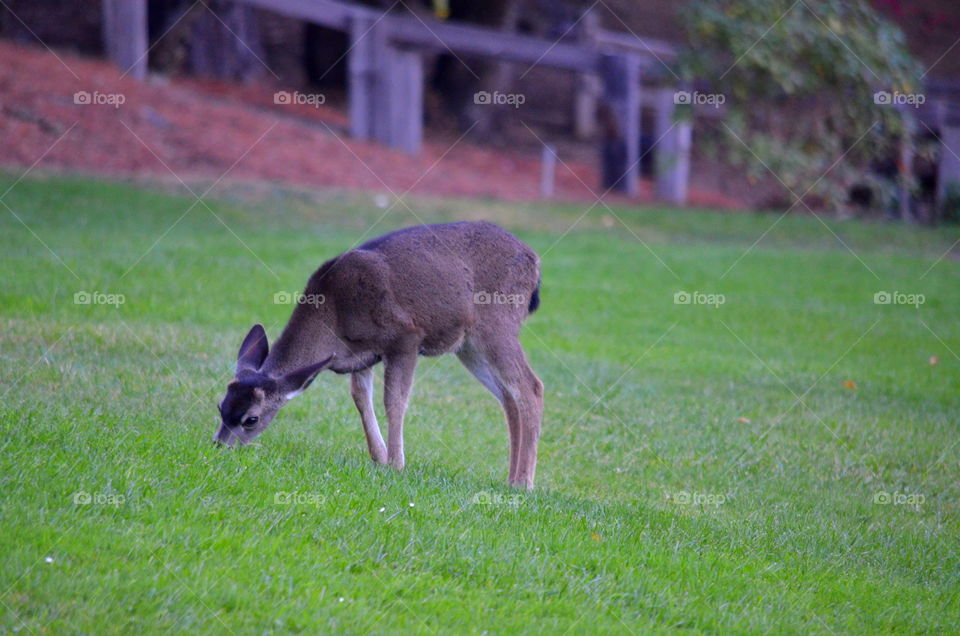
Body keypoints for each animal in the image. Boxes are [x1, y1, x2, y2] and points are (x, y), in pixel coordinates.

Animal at [218, 221, 548, 490]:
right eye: (220, 406)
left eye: (251, 419)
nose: (219, 445)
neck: (333, 314)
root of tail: (535, 262)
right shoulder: (360, 355)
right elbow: (361, 398)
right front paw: (378, 457)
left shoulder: (405, 338)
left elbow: (395, 401)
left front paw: (397, 464)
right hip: (468, 345)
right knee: (508, 396)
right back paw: (510, 479)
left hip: (497, 324)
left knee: (530, 386)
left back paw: (524, 483)